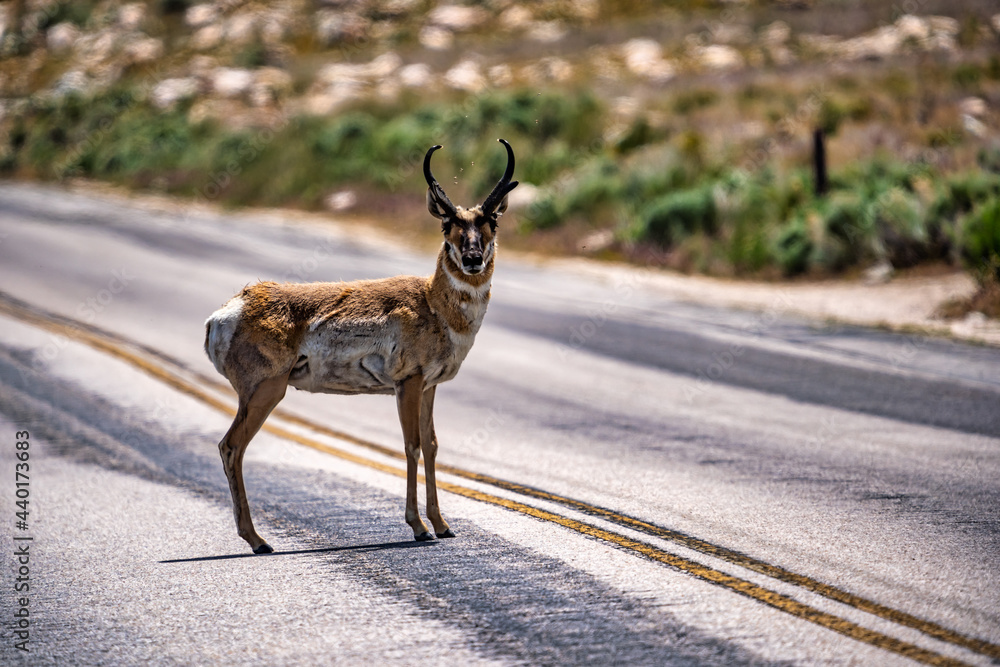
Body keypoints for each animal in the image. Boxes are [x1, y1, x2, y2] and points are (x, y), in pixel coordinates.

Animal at [204, 139, 518, 553]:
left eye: (491, 221)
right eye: (447, 224)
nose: (472, 259)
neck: (432, 303)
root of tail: (228, 311)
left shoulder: (429, 386)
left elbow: (432, 444)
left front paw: (443, 525)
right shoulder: (408, 383)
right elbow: (411, 445)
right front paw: (418, 527)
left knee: (230, 447)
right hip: (265, 391)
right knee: (231, 446)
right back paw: (258, 541)